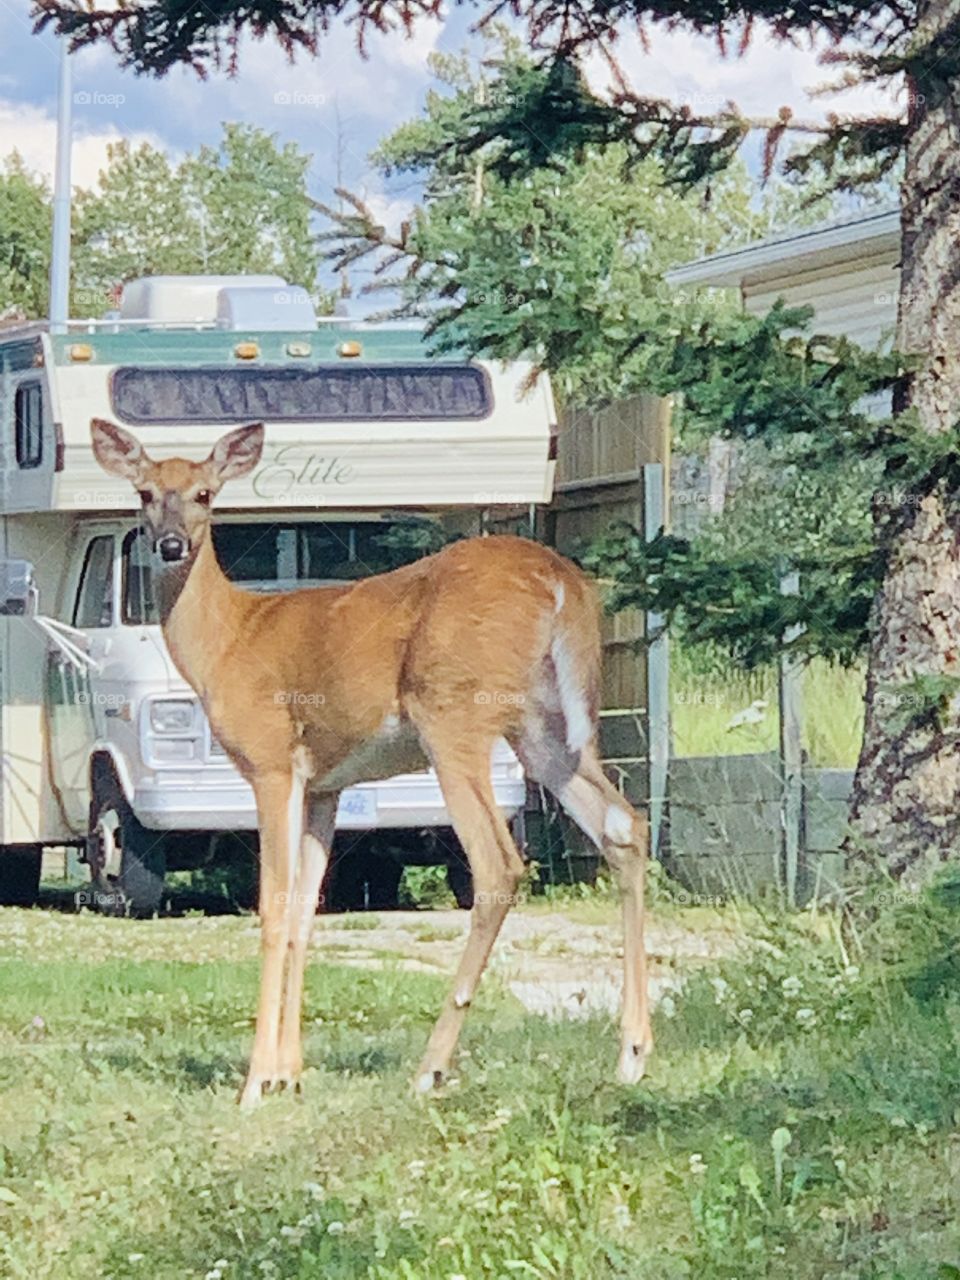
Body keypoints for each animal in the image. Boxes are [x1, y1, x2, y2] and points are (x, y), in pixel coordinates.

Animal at [90, 417, 652, 1107]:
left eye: (204, 494)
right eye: (144, 493)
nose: (170, 545)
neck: (230, 641)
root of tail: (558, 579)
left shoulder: (271, 761)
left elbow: (273, 908)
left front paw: (255, 1082)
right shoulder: (325, 785)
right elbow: (305, 912)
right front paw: (290, 1073)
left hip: (454, 713)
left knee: (499, 864)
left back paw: (431, 1068)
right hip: (546, 730)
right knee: (623, 825)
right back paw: (632, 1054)